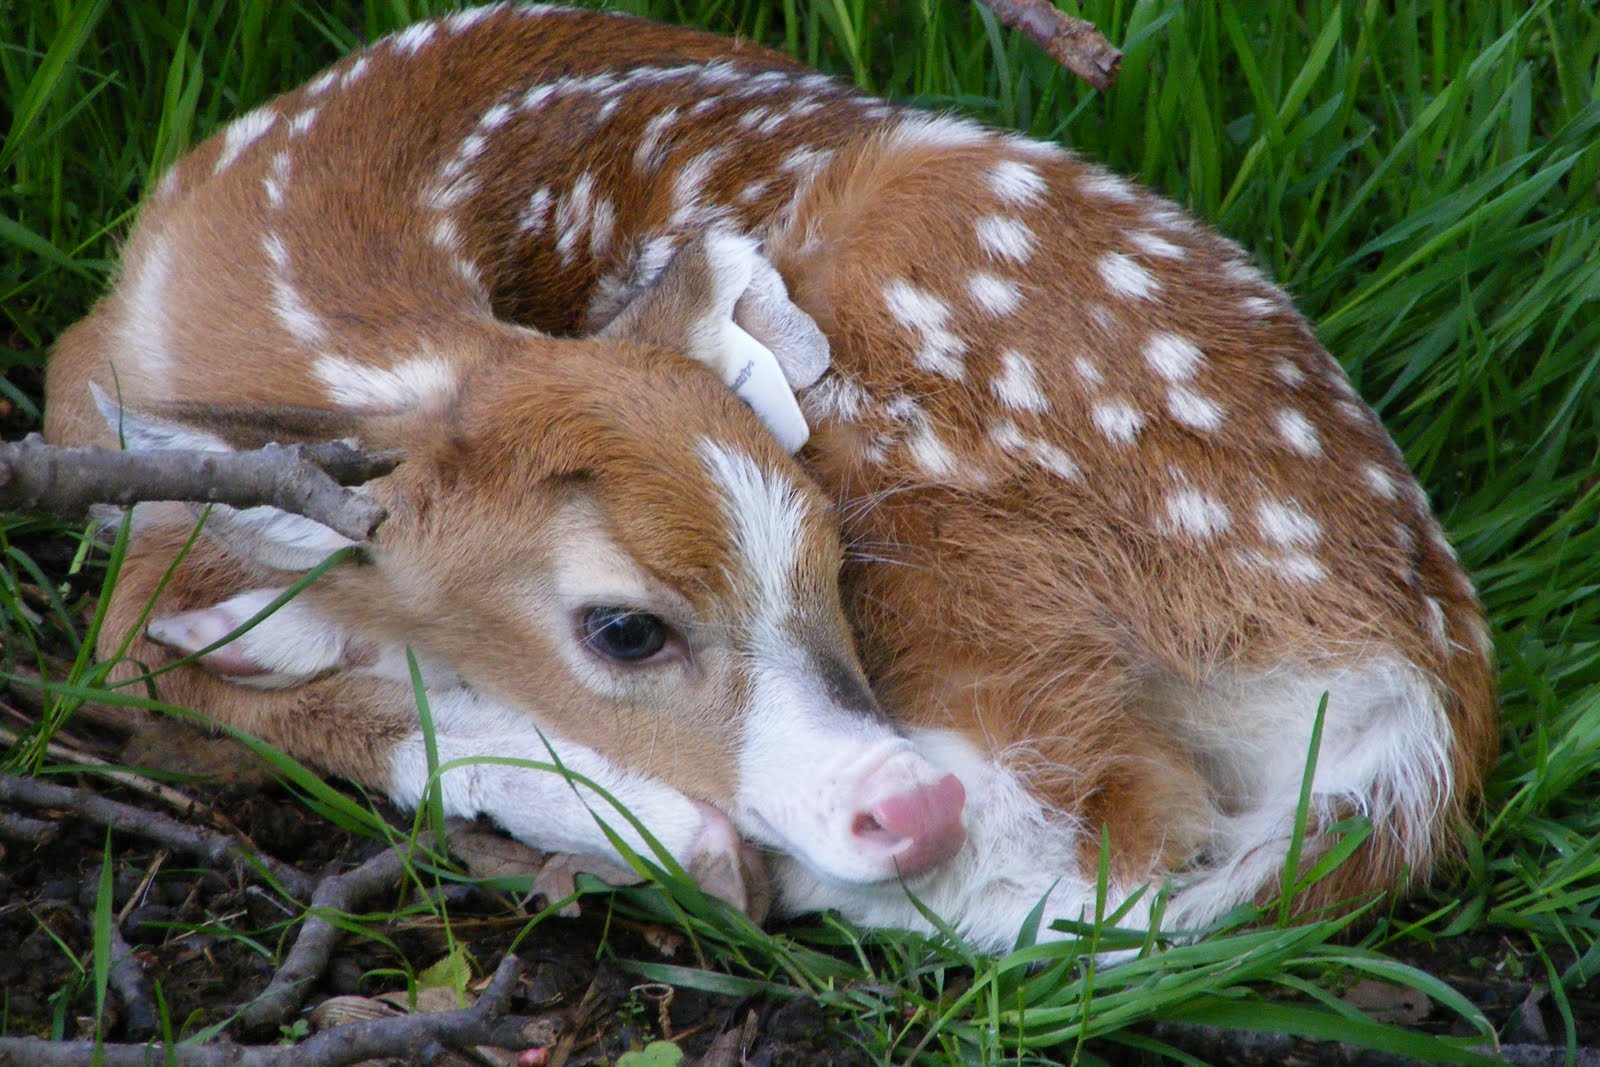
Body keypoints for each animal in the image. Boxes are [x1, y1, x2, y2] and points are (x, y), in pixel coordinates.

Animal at [43, 3, 1497, 953]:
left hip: (930, 459)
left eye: (828, 558)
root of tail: (1426, 682)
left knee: (1096, 830)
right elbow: (146, 656)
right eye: (621, 627)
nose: (896, 805)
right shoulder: (83, 412)